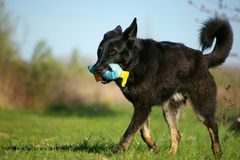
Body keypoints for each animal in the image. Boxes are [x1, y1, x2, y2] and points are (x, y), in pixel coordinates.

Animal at [92, 16, 232, 157]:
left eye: (113, 52)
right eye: (99, 51)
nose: (96, 69)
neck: (136, 62)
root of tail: (203, 58)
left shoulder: (143, 106)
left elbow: (130, 131)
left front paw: (118, 150)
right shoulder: (141, 106)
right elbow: (143, 132)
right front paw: (154, 148)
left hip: (202, 109)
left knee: (213, 126)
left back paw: (218, 152)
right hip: (169, 110)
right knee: (177, 135)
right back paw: (169, 155)